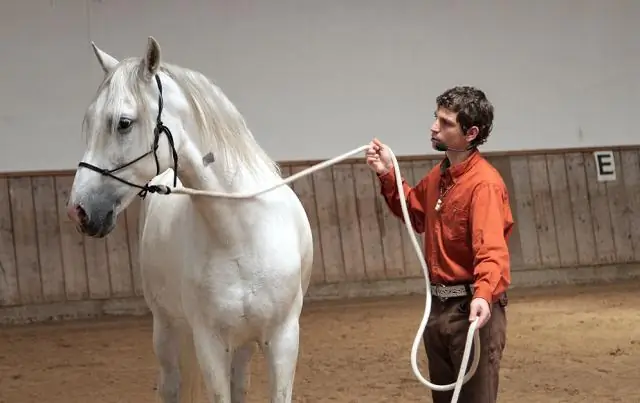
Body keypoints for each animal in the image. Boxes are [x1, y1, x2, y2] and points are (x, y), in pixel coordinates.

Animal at [66, 36, 314, 402]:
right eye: (88, 120)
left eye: (123, 123)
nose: (79, 211)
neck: (241, 232)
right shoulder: (209, 343)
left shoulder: (283, 339)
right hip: (167, 330)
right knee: (170, 385)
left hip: (242, 343)